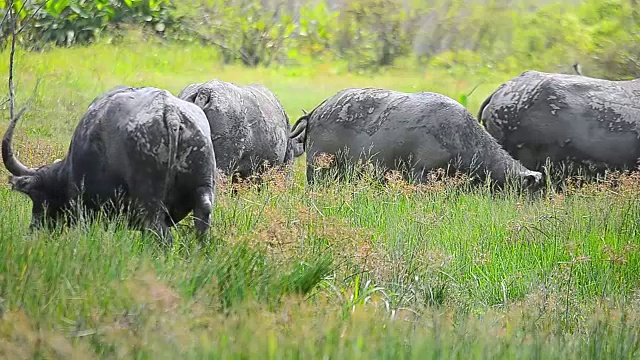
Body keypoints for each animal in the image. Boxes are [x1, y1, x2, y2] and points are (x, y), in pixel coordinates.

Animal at [0, 85, 218, 242]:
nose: (33, 230)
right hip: (204, 186)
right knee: (202, 219)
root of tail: (170, 113)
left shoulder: (84, 206)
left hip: (150, 199)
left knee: (160, 232)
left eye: (38, 198)